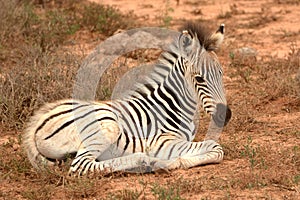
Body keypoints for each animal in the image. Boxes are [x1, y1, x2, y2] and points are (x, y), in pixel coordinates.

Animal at [22, 22, 232, 175]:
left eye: (221, 73)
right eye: (199, 79)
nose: (226, 115)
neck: (170, 106)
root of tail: (38, 123)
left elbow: (215, 148)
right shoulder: (162, 142)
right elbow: (216, 147)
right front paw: (182, 161)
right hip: (107, 123)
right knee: (81, 166)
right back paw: (152, 162)